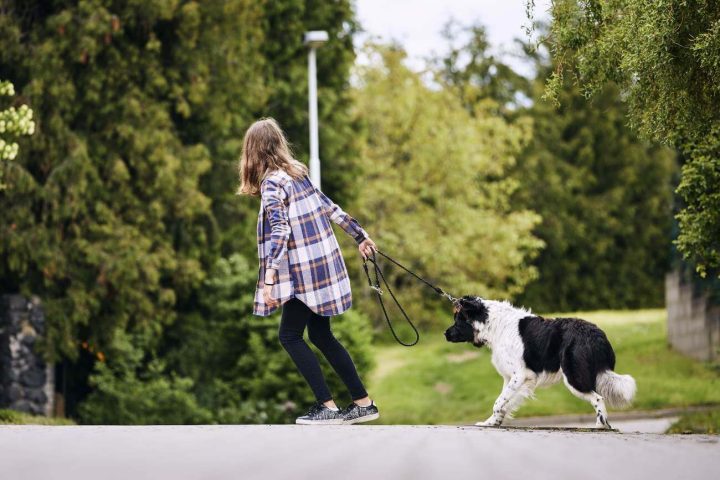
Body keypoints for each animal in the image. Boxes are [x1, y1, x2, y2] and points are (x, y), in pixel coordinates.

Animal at [444, 296, 636, 428]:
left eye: (458, 320)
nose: (445, 334)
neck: (495, 326)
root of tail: (598, 334)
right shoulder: (514, 378)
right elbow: (503, 402)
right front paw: (492, 423)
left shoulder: (519, 375)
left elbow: (498, 402)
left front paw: (492, 421)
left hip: (573, 377)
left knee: (597, 397)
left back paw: (600, 425)